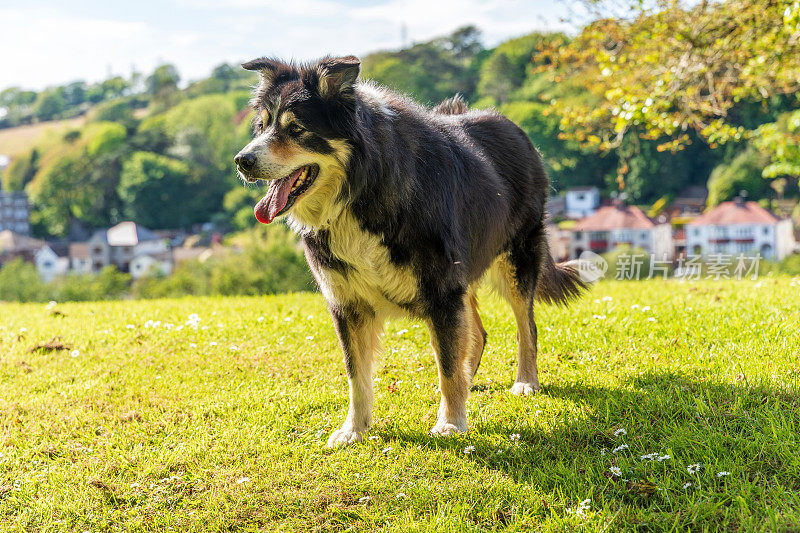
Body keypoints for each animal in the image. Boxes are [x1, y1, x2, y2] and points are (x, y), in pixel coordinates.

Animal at [234, 55, 584, 444]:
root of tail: (514, 128)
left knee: (526, 326)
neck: (359, 192)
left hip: (516, 259)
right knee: (477, 334)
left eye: (296, 129)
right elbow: (357, 375)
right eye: (261, 127)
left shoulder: (442, 292)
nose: (242, 160)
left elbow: (447, 367)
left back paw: (525, 382)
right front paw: (354, 430)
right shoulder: (348, 303)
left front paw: (450, 423)